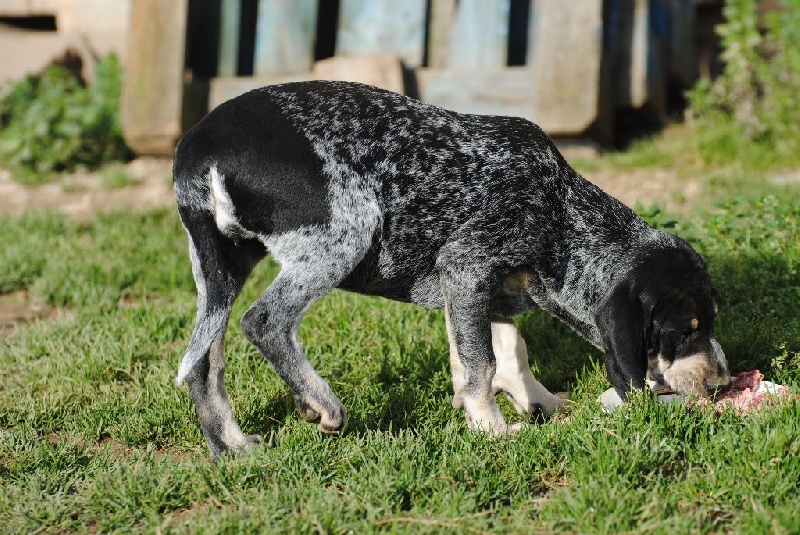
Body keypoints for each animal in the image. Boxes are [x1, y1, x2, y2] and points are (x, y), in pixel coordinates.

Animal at [173, 81, 732, 458]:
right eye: (686, 329)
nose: (723, 383)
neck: (561, 212)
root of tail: (198, 145)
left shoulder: (476, 287)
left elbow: (505, 354)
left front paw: (537, 404)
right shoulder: (466, 267)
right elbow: (482, 365)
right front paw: (492, 429)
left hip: (221, 269)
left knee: (203, 365)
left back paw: (232, 448)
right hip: (343, 231)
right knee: (265, 322)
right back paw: (320, 403)